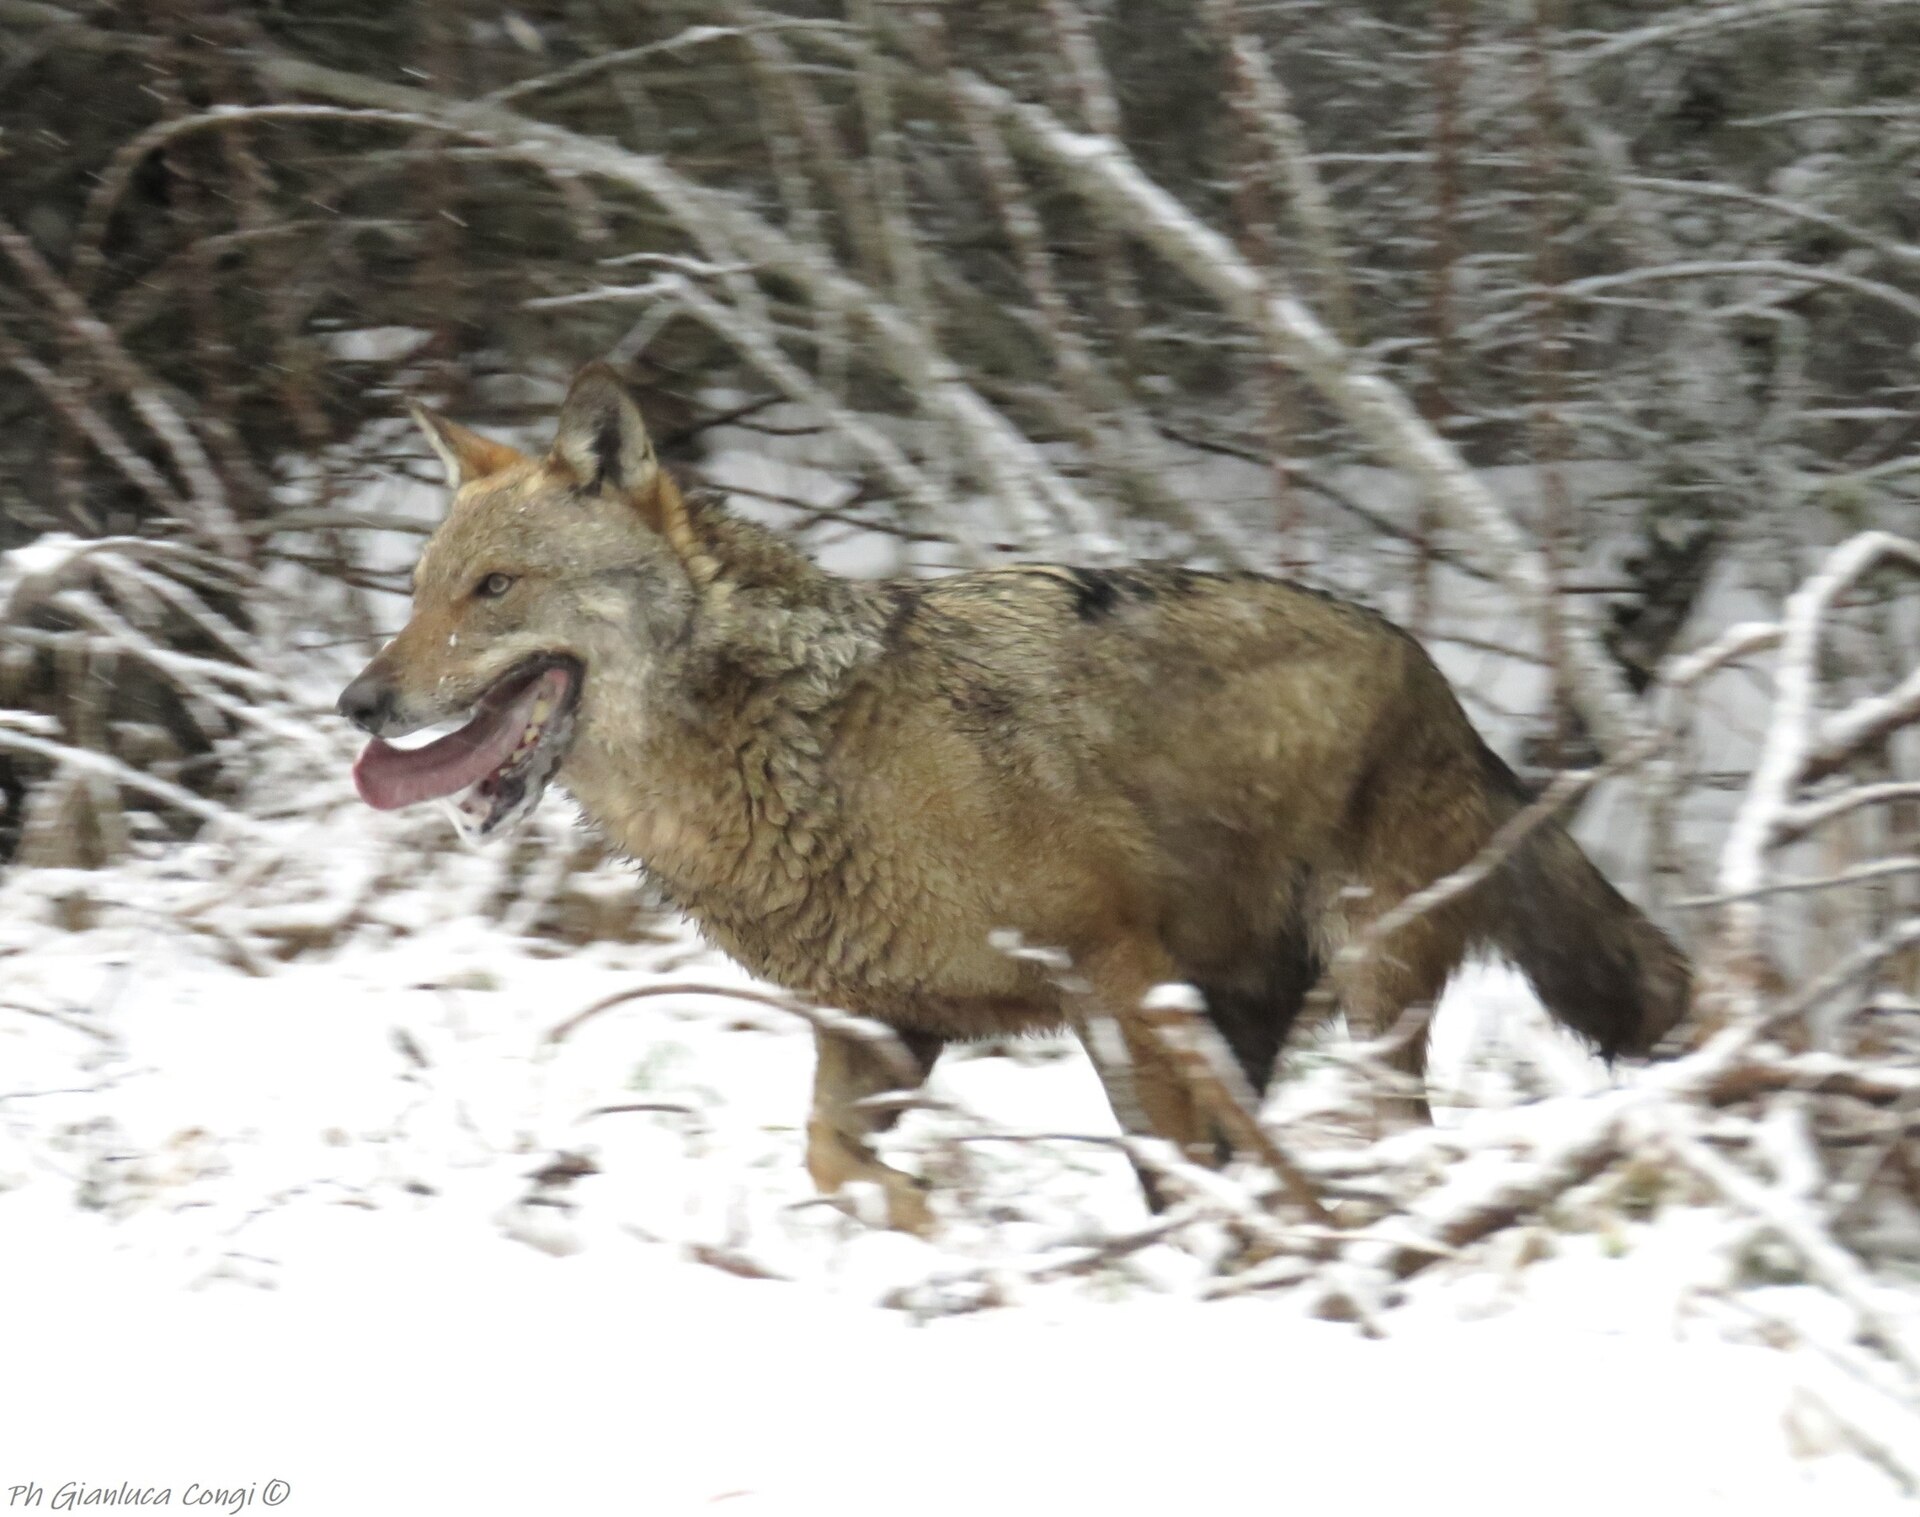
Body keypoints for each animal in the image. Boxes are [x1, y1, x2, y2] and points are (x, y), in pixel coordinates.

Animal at [338, 363, 1691, 1232]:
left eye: (496, 589)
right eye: (419, 590)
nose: (359, 701)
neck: (804, 750)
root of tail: (1444, 685)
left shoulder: (1114, 975)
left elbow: (1173, 1173)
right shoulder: (876, 1023)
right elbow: (828, 1159)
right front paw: (928, 1228)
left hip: (1359, 988)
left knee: (1386, 1135)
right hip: (1242, 1013)